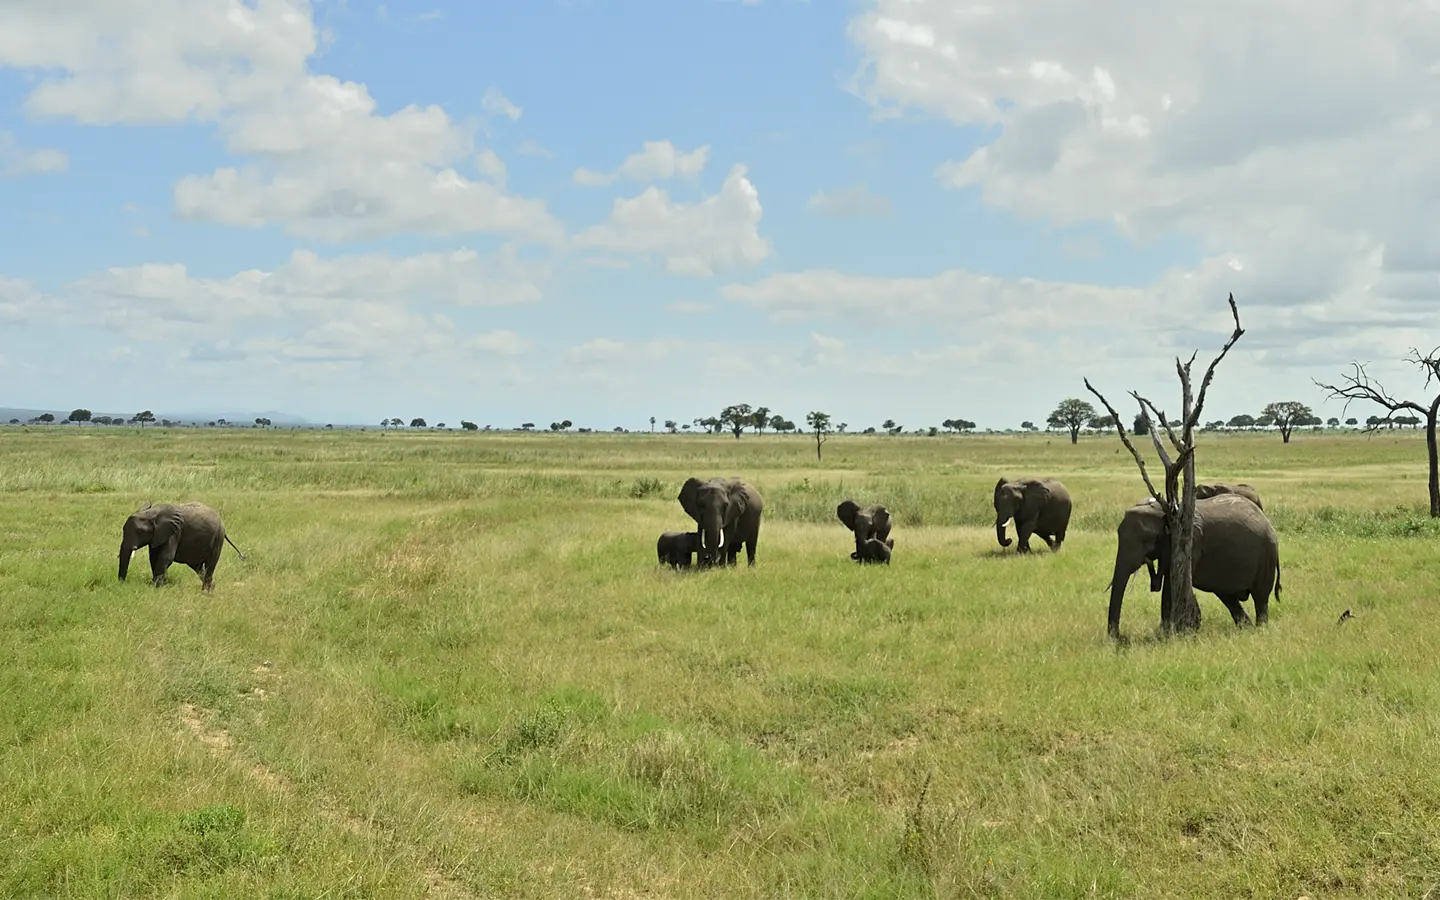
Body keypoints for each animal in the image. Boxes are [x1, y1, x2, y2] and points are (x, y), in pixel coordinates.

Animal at [1106, 493, 1282, 639]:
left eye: (1147, 539)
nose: (1120, 637)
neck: (1165, 511)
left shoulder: (1190, 541)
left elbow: (1170, 584)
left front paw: (1168, 634)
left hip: (1267, 555)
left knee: (1260, 597)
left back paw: (1259, 630)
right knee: (1227, 595)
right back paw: (1247, 628)